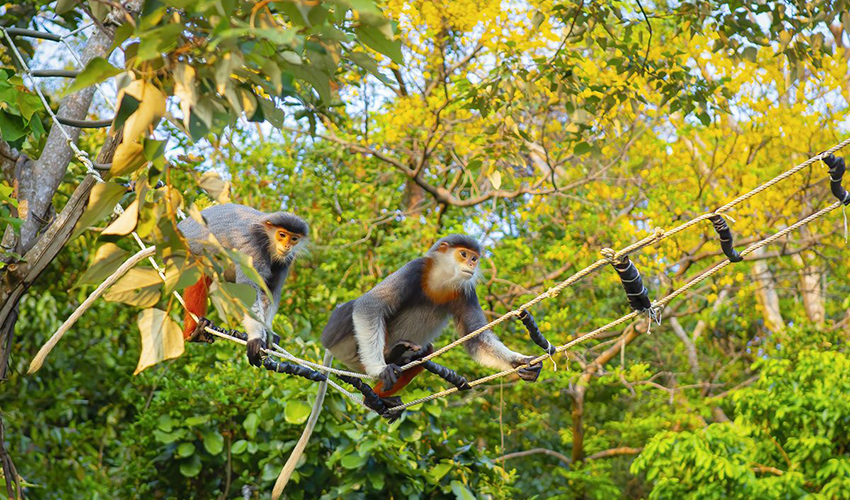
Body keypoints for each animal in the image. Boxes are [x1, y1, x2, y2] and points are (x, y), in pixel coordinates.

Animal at [177, 204, 308, 367]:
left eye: (294, 238)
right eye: (282, 235)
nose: (287, 245)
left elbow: (269, 293)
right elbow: (249, 289)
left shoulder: (286, 261)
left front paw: (268, 334)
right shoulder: (252, 247)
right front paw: (256, 338)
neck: (267, 238)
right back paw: (195, 331)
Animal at [321, 234, 542, 398]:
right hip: (344, 345)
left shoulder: (466, 292)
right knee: (352, 307)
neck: (441, 280)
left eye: (474, 258)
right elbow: (369, 305)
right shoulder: (415, 267)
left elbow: (477, 339)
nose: (471, 265)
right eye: (463, 254)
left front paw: (520, 362)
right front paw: (379, 368)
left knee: (425, 350)